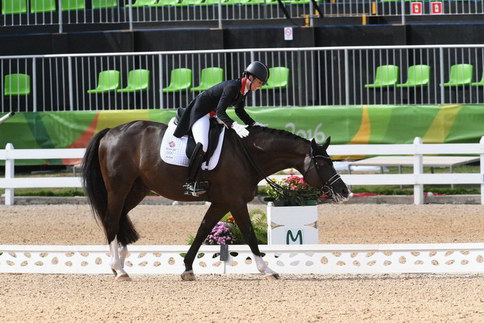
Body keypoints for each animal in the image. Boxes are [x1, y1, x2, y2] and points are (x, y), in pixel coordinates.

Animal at [81, 120, 350, 282]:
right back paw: (119, 269)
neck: (247, 154)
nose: (344, 192)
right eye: (323, 164)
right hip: (119, 187)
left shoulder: (221, 203)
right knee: (111, 219)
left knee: (117, 219)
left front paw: (188, 269)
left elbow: (203, 230)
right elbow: (249, 234)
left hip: (137, 190)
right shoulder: (236, 202)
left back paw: (119, 261)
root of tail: (111, 132)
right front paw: (268, 270)